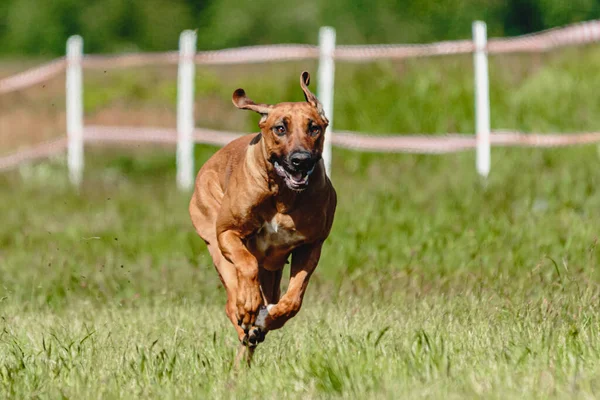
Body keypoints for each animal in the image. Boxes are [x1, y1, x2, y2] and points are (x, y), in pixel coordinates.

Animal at [189, 71, 336, 362]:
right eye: (280, 128)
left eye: (314, 128)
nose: (300, 160)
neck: (282, 194)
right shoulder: (227, 233)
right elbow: (246, 265)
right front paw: (248, 305)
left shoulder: (311, 245)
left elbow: (292, 301)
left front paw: (268, 318)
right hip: (215, 243)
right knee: (231, 297)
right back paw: (244, 315)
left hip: (272, 269)